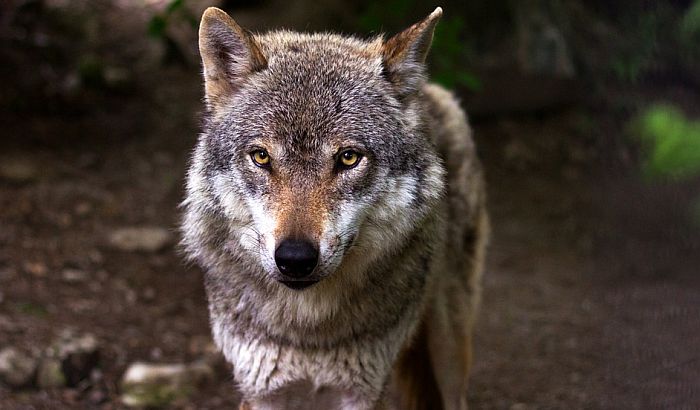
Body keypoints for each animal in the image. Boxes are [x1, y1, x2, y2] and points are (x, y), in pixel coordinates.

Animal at [180, 6, 486, 410]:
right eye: (261, 157)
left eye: (348, 158)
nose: (295, 258)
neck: (309, 328)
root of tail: (431, 91)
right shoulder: (261, 389)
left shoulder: (364, 390)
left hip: (449, 347)